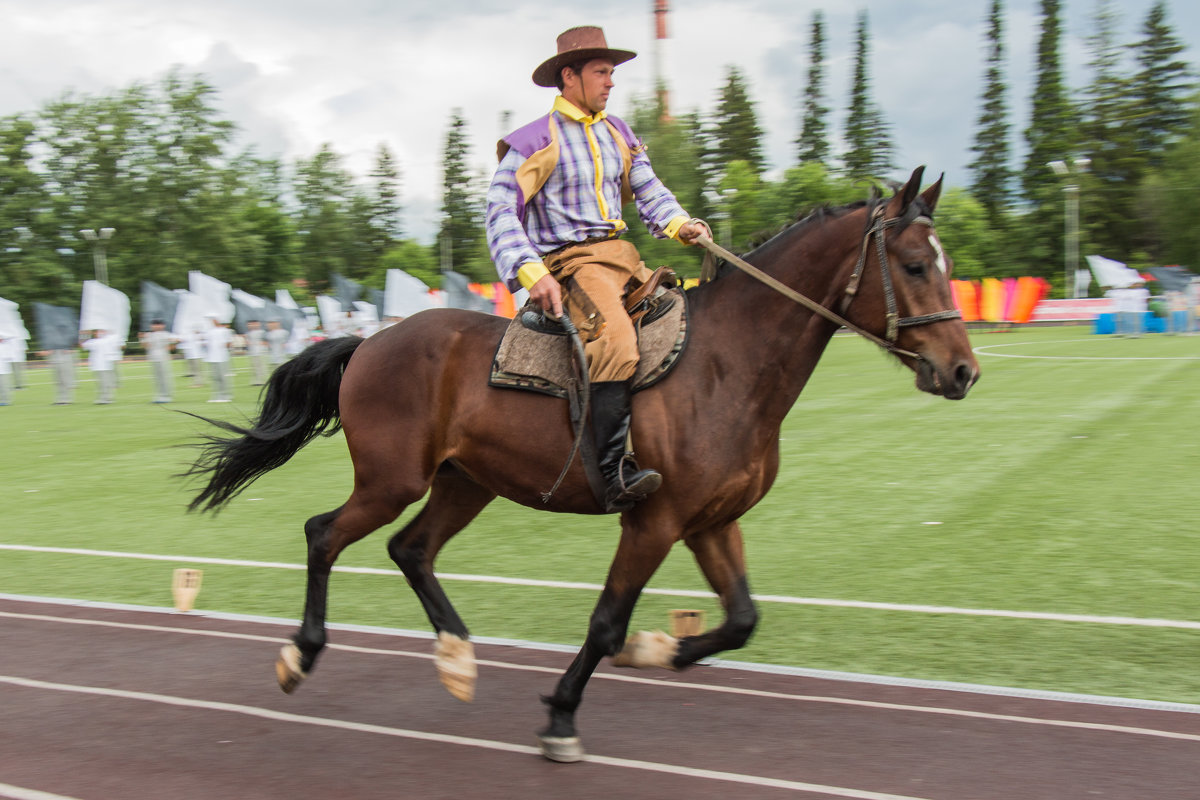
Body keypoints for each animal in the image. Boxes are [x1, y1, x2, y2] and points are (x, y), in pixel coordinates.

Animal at [184, 165, 974, 762]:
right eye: (913, 266)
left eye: (947, 267)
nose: (963, 371)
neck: (727, 365)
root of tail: (371, 341)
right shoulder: (654, 521)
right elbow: (604, 624)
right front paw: (564, 713)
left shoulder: (712, 522)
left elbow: (741, 619)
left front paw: (659, 649)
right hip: (392, 481)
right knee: (325, 534)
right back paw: (302, 654)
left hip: (466, 484)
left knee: (410, 549)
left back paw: (457, 656)